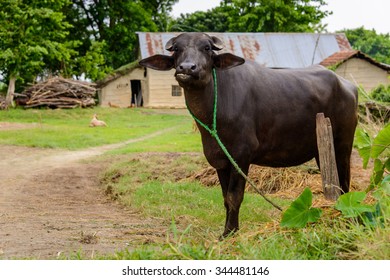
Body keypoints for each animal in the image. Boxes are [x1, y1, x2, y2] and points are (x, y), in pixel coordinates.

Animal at [139, 33, 356, 238]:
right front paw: (229, 230)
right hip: (321, 150)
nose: (187, 68)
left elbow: (235, 196)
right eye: (177, 49)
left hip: (343, 146)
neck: (215, 111)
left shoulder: (241, 156)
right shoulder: (220, 160)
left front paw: (229, 232)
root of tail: (348, 86)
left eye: (207, 48)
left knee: (345, 183)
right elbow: (226, 198)